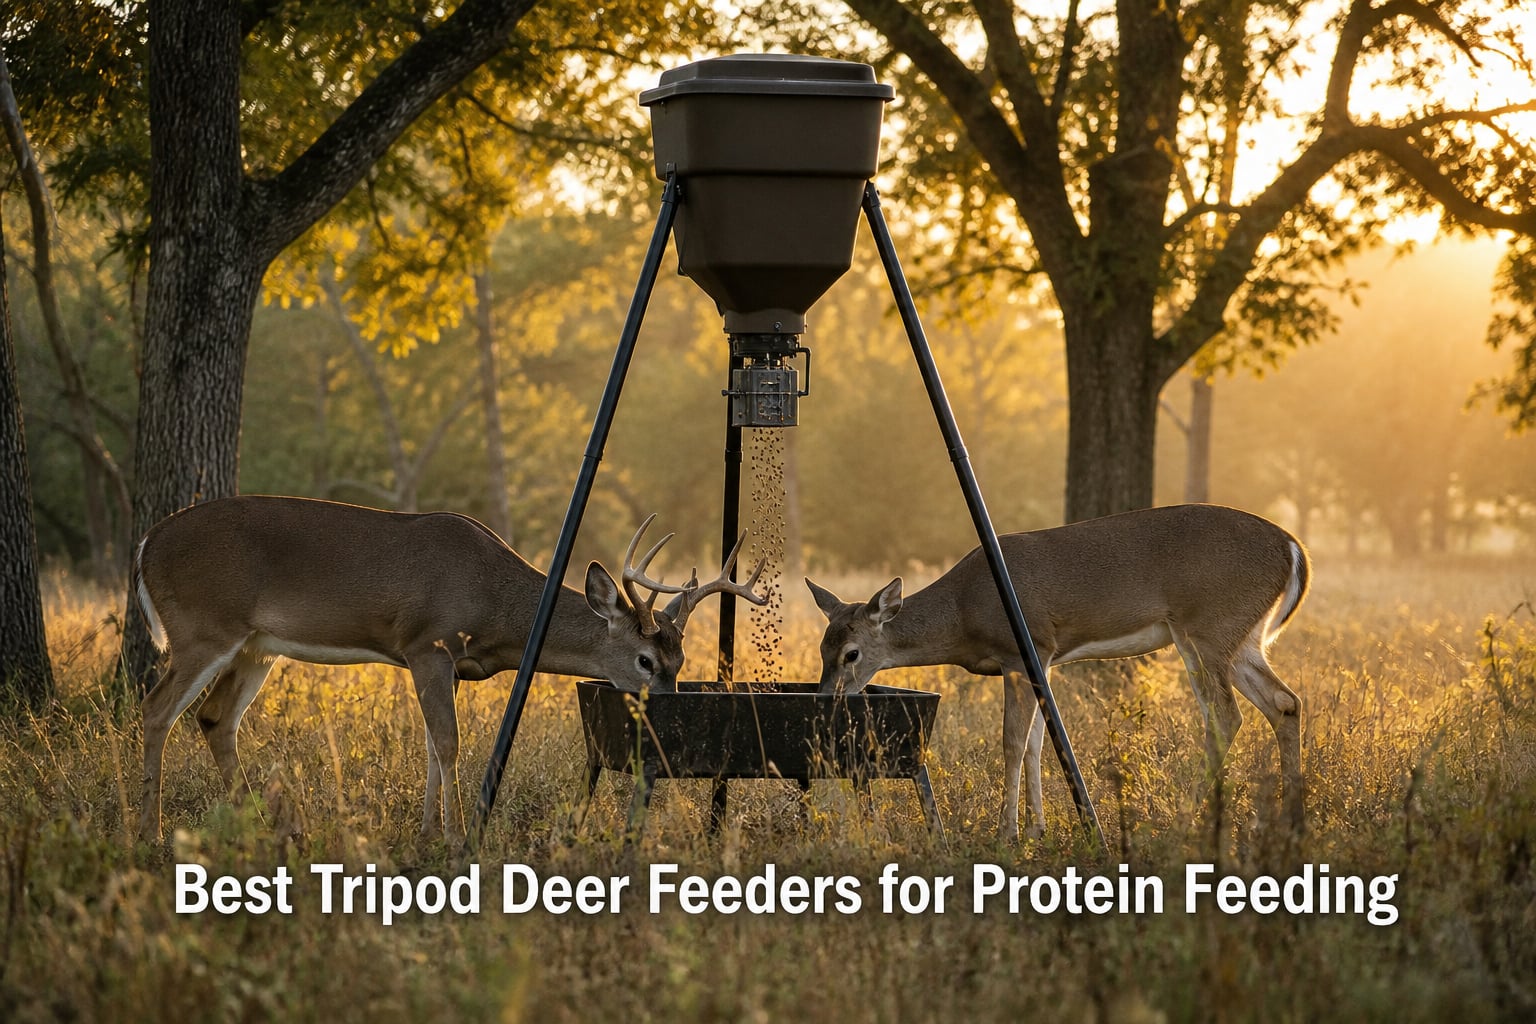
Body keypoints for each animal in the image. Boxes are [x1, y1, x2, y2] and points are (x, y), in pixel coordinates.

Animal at [134, 495, 768, 846]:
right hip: (204, 626)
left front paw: (427, 834)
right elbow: (448, 741)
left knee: (215, 718)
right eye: (645, 660)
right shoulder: (426, 644)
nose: (675, 703)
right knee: (157, 709)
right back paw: (152, 833)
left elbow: (432, 745)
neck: (495, 603)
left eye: (680, 661)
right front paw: (459, 836)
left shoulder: (450, 665)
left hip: (256, 647)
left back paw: (274, 827)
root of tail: (145, 543)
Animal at [806, 503, 1310, 840]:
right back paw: (1291, 822)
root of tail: (1292, 548)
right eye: (821, 648)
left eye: (851, 653)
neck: (964, 612)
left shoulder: (1021, 649)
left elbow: (1012, 741)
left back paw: (1185, 820)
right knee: (1284, 702)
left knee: (1226, 716)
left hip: (1206, 627)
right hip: (1241, 639)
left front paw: (1006, 832)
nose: (826, 695)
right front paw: (1037, 829)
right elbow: (1035, 742)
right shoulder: (1039, 661)